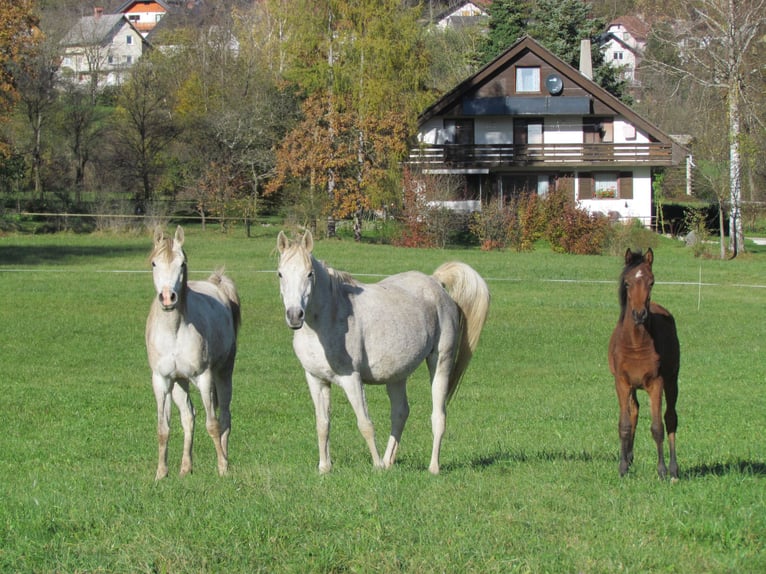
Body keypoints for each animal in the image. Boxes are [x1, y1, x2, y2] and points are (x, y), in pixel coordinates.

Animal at [144, 226, 240, 482]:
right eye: (154, 263)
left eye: (182, 264)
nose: (168, 297)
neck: (174, 330)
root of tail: (216, 283)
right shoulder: (161, 380)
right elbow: (163, 428)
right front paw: (161, 472)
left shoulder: (204, 378)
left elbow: (213, 425)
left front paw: (222, 468)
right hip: (180, 381)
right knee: (188, 417)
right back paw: (185, 467)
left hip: (223, 373)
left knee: (224, 416)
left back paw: (224, 458)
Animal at [278, 231, 492, 476]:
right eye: (280, 274)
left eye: (310, 274)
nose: (295, 315)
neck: (325, 319)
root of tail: (435, 282)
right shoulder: (316, 380)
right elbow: (322, 424)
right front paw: (324, 467)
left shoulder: (351, 379)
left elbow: (365, 423)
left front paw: (377, 466)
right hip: (397, 375)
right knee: (400, 413)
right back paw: (390, 461)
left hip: (441, 362)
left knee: (438, 416)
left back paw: (432, 467)